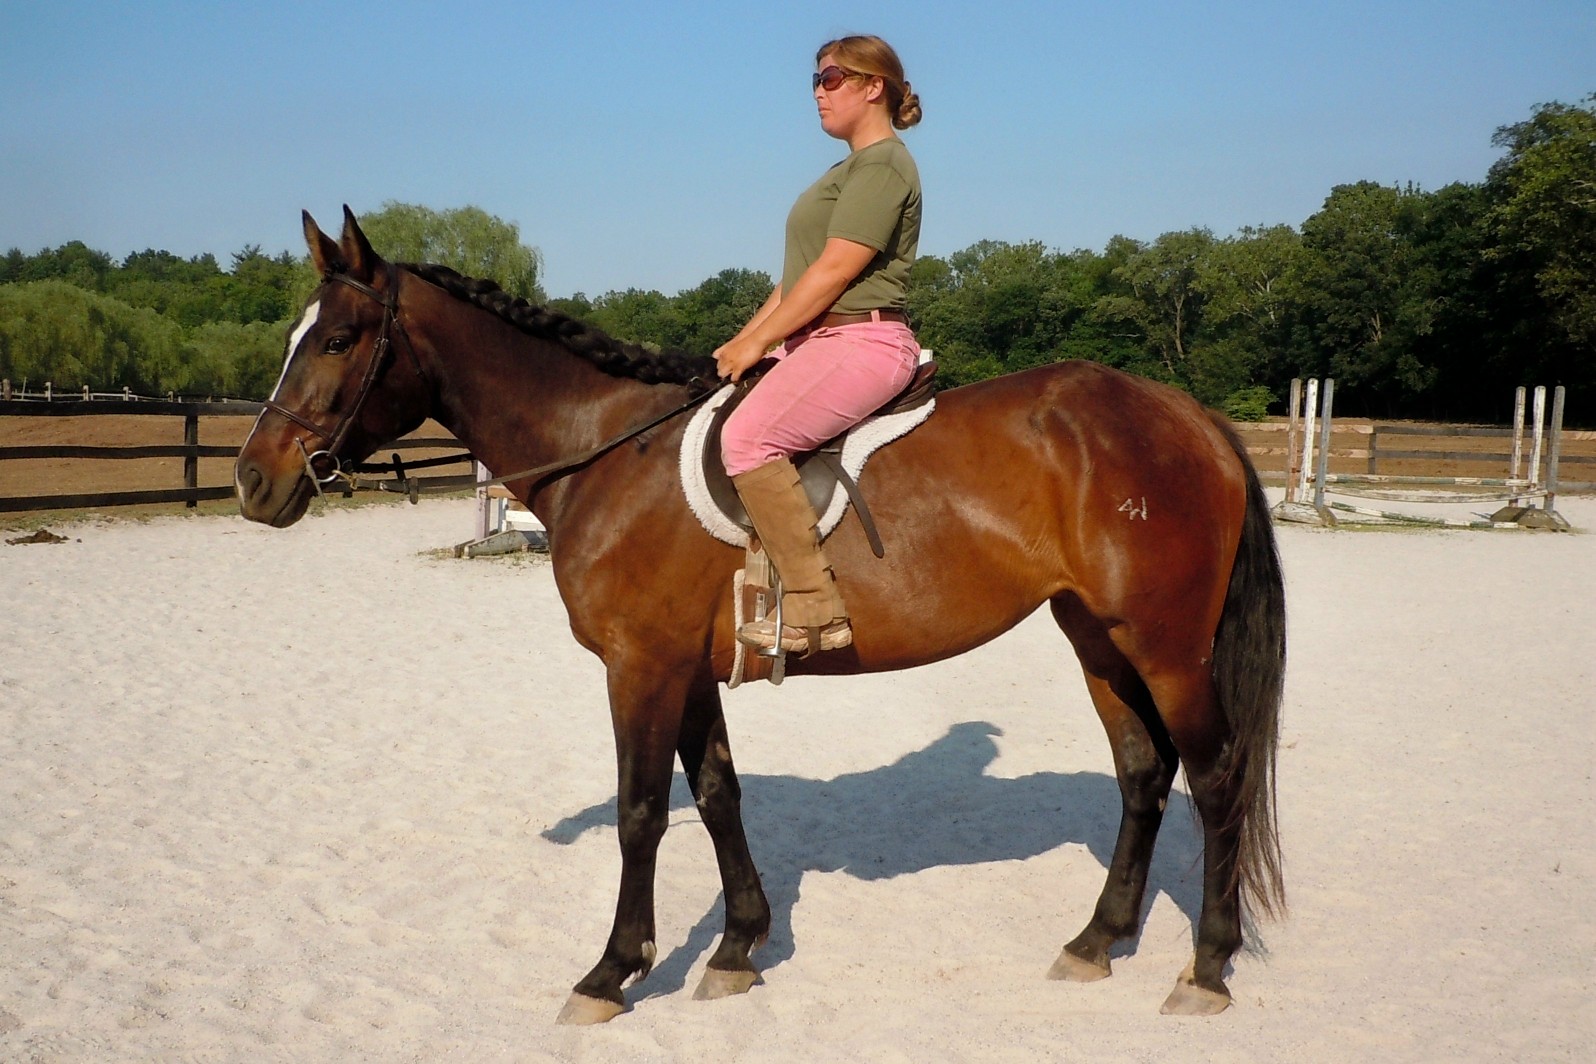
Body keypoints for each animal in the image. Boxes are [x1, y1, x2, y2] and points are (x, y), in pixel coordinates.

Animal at [236, 208, 1287, 1025]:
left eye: (336, 342)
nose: (252, 481)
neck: (608, 452)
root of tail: (1188, 414)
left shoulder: (640, 666)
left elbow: (641, 813)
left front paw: (612, 973)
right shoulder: (686, 668)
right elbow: (717, 796)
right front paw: (738, 948)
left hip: (1167, 648)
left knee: (1217, 776)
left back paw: (1206, 968)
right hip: (1098, 639)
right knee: (1144, 774)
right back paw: (1097, 940)